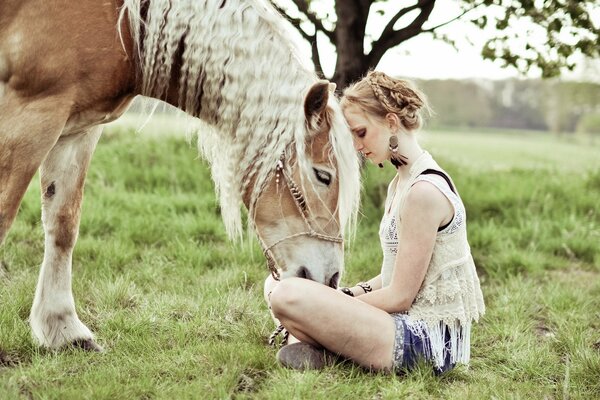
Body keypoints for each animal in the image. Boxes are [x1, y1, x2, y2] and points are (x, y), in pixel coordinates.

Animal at [0, 0, 360, 350]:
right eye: (323, 176)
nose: (331, 280)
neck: (123, 26)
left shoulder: (77, 131)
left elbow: (63, 225)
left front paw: (63, 329)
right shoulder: (31, 116)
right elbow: (4, 217)